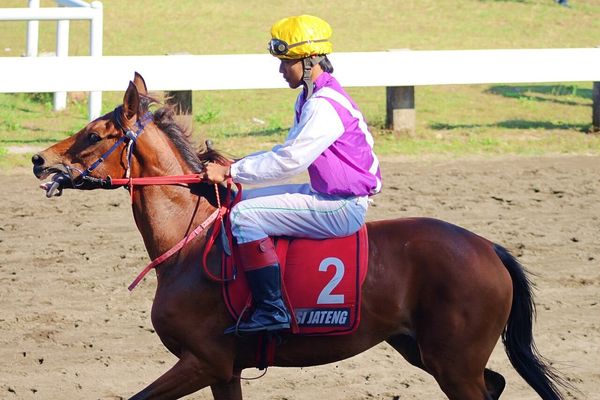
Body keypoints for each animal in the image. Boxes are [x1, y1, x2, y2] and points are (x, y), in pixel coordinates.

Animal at [31, 73, 568, 398]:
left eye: (94, 134)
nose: (40, 160)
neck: (187, 248)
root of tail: (488, 247)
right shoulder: (224, 372)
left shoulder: (202, 362)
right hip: (425, 352)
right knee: (495, 383)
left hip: (454, 363)